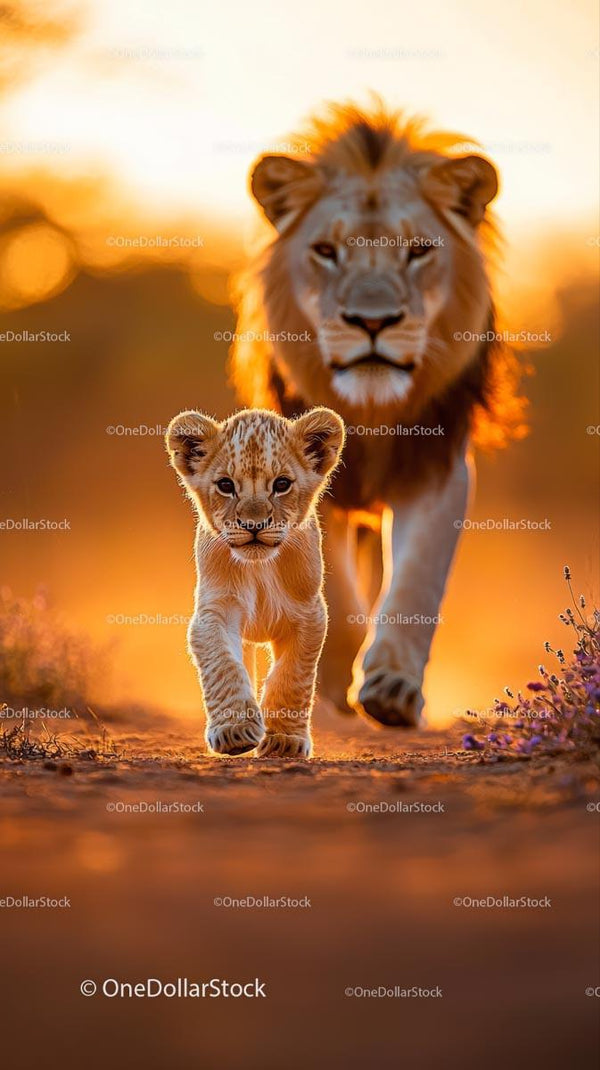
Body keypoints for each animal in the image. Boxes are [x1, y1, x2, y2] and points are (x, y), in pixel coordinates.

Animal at [166, 406, 345, 757]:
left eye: (282, 484)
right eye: (225, 485)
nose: (253, 525)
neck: (260, 568)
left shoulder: (309, 615)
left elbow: (292, 675)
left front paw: (285, 740)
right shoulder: (213, 612)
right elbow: (223, 664)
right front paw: (234, 731)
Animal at [231, 100, 526, 728]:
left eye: (418, 251)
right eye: (326, 251)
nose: (373, 321)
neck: (370, 410)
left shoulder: (438, 468)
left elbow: (415, 583)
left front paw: (393, 689)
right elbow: (336, 594)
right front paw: (319, 684)